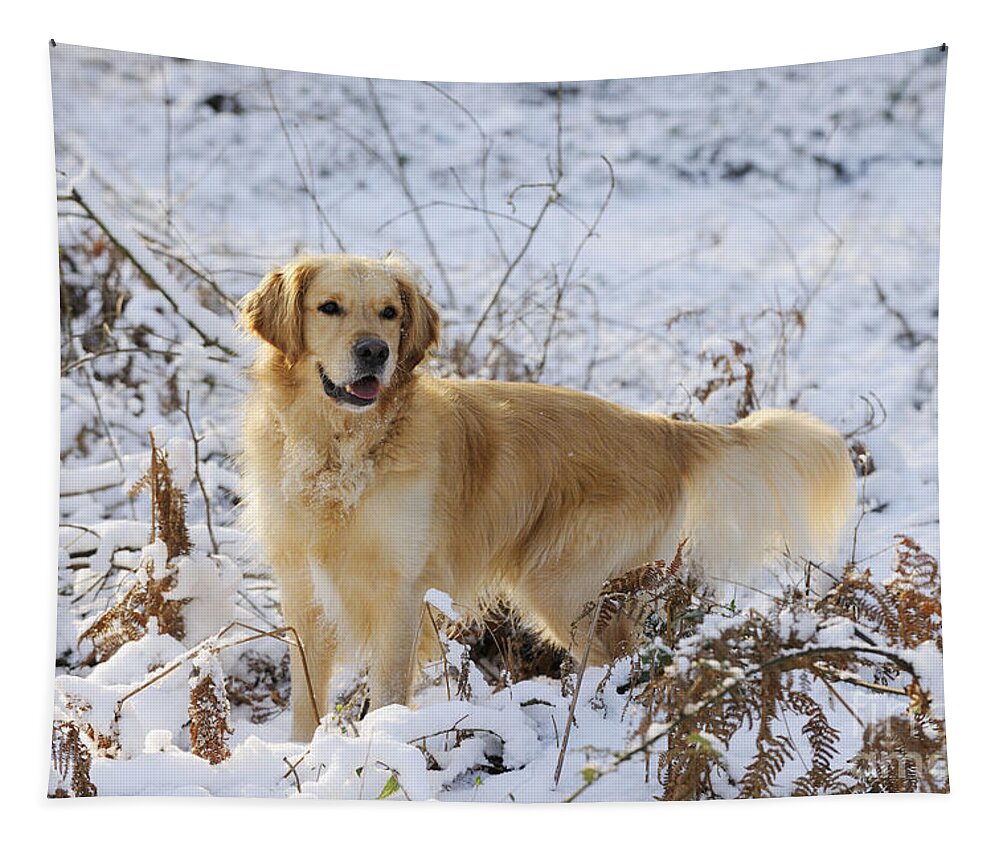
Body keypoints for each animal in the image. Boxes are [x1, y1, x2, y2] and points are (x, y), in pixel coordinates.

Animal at [238, 251, 856, 740]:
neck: (339, 451)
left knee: (624, 665)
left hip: (560, 586)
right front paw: (299, 759)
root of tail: (663, 429)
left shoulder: (401, 593)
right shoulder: (304, 594)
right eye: (330, 307)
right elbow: (306, 701)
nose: (374, 352)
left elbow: (388, 690)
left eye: (390, 313)